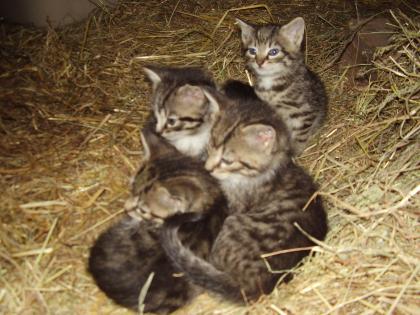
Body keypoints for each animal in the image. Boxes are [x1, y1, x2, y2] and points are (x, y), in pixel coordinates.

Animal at [159, 86, 326, 302]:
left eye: (228, 161)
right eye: (211, 145)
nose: (208, 168)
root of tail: (253, 285)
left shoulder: (232, 205)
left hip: (232, 224)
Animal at [236, 17, 328, 156]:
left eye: (273, 52)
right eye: (252, 51)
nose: (259, 62)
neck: (272, 83)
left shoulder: (305, 113)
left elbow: (300, 135)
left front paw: (294, 152)